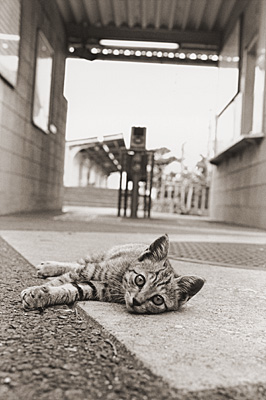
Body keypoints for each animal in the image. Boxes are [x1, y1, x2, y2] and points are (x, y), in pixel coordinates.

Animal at [21, 233, 206, 314]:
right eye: (140, 280)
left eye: (158, 299)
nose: (136, 301)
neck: (120, 282)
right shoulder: (90, 270)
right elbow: (60, 281)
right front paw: (36, 291)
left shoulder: (97, 288)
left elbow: (71, 289)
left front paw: (41, 295)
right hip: (96, 259)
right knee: (77, 263)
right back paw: (49, 267)